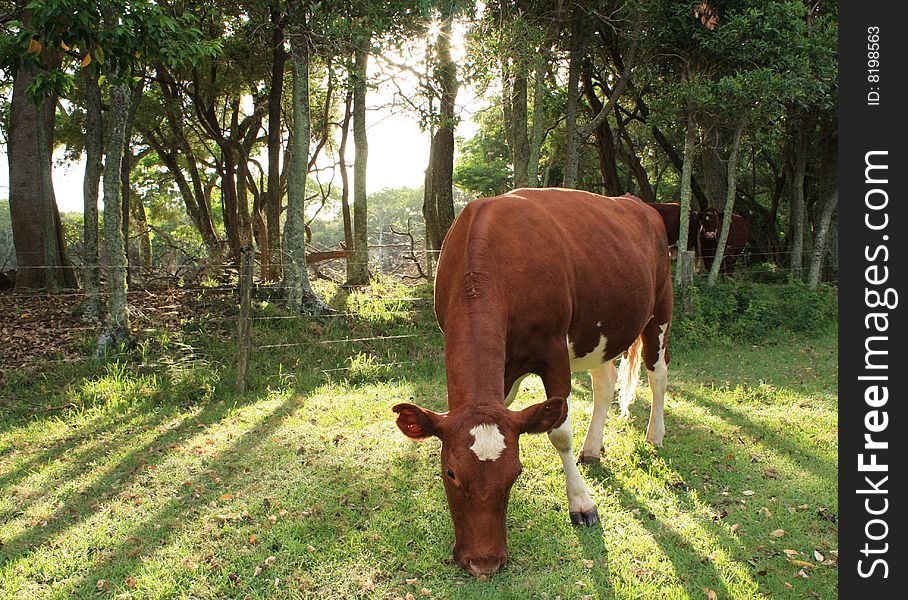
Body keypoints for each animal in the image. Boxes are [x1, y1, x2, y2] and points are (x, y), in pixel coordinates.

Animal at [392, 188, 672, 576]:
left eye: (516, 473)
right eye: (450, 473)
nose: (484, 562)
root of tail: (636, 201)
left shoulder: (553, 352)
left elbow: (560, 432)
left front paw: (581, 503)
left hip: (660, 306)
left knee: (657, 372)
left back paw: (654, 434)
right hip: (598, 331)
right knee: (604, 382)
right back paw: (592, 448)